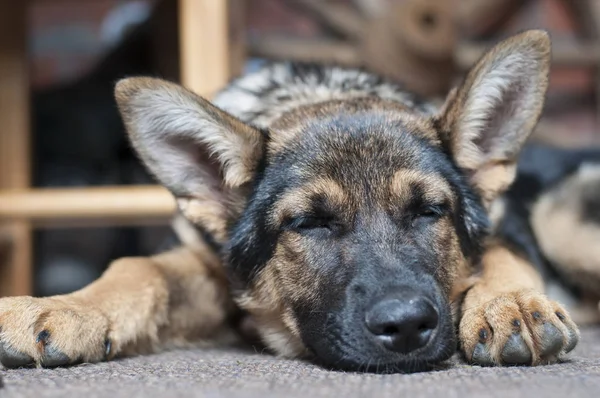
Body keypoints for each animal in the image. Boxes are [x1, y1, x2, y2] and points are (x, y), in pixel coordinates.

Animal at [1, 30, 600, 374]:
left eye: (430, 212)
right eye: (309, 224)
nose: (407, 326)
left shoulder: (507, 222)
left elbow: (503, 255)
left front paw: (512, 306)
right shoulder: (206, 269)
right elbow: (139, 267)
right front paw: (63, 307)